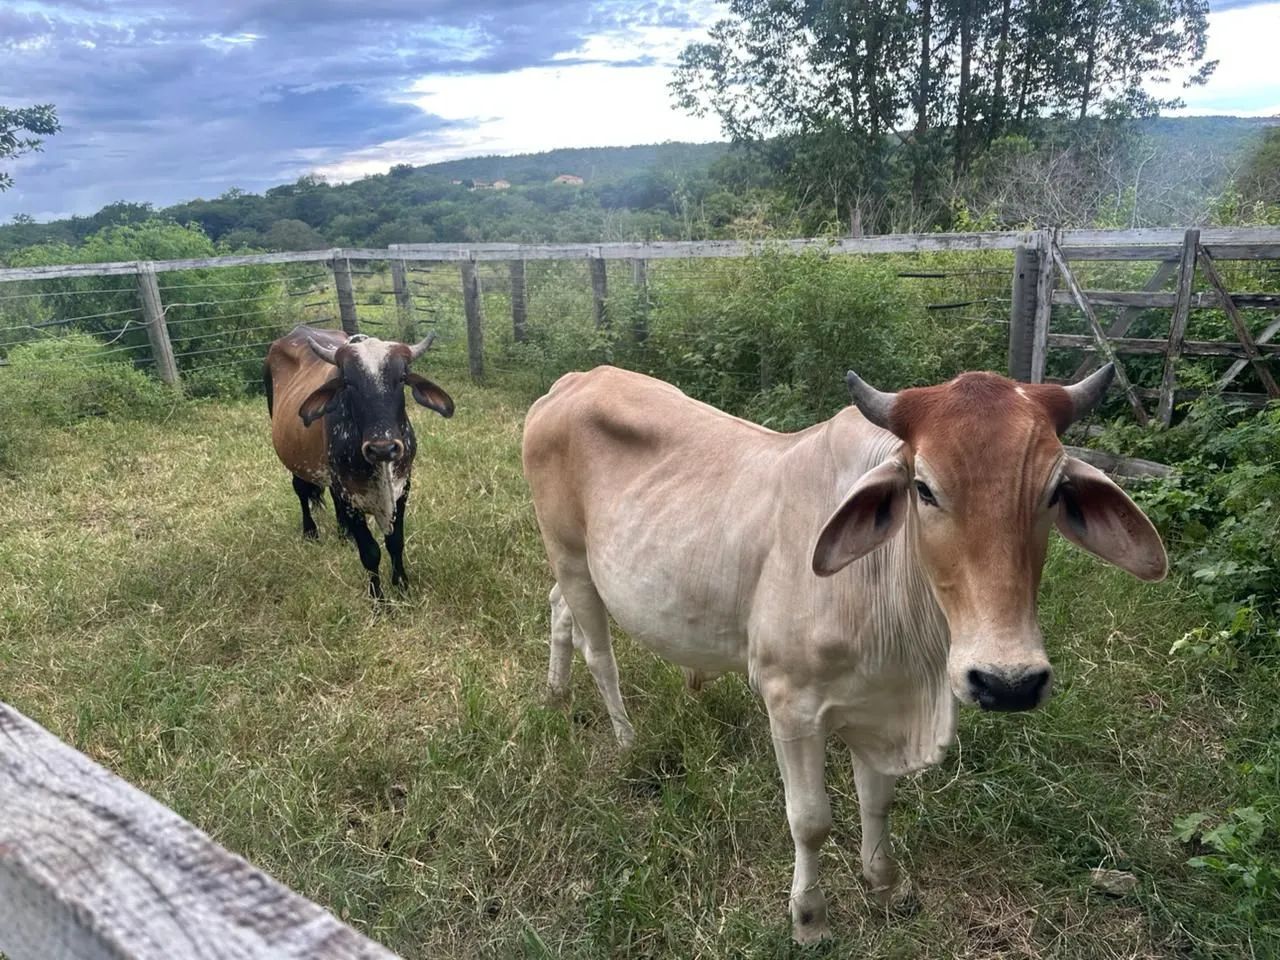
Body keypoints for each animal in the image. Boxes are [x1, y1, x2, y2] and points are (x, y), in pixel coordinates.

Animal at [264, 325, 454, 598]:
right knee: (300, 489)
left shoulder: (402, 488)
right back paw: (311, 532)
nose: (382, 448)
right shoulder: (350, 495)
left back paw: (344, 535)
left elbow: (395, 542)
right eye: (348, 382)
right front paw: (378, 599)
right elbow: (370, 552)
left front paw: (402, 587)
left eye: (401, 378)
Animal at [521, 363, 1166, 942]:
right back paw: (625, 737)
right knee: (599, 650)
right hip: (568, 552)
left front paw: (884, 887)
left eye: (1054, 490)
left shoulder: (879, 706)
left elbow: (877, 802)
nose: (1008, 682)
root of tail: (573, 381)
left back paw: (555, 694)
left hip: (572, 568)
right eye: (924, 488)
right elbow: (810, 821)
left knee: (557, 610)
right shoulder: (790, 705)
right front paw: (809, 919)